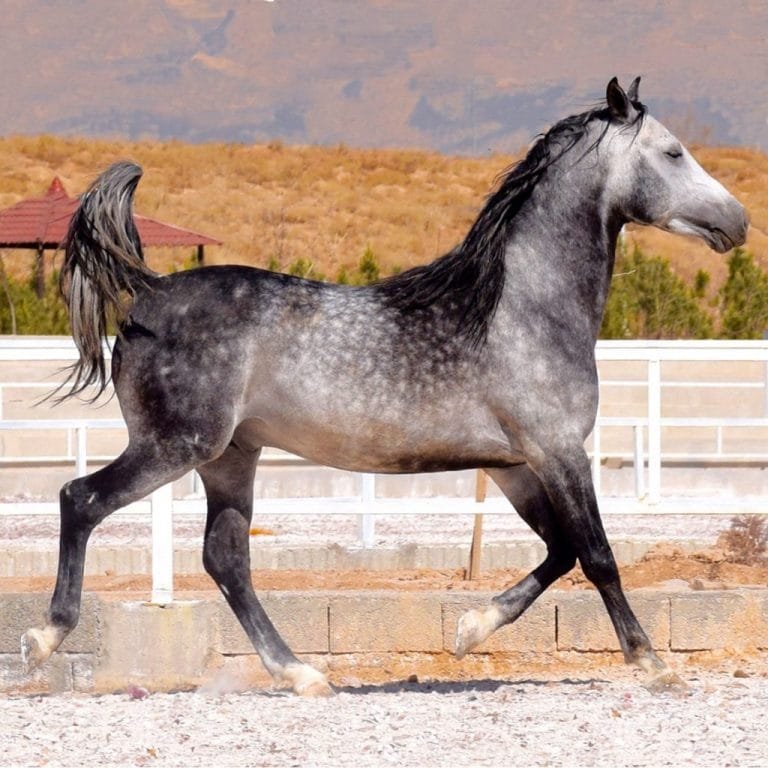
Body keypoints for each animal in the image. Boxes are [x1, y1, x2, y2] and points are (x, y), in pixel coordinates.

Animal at [21, 77, 747, 696]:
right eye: (674, 151)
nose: (736, 222)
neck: (520, 308)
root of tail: (146, 296)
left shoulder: (514, 464)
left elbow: (561, 550)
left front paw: (468, 631)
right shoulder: (559, 451)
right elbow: (597, 554)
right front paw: (651, 663)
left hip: (230, 456)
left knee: (225, 559)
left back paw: (301, 674)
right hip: (177, 446)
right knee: (81, 500)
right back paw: (43, 638)